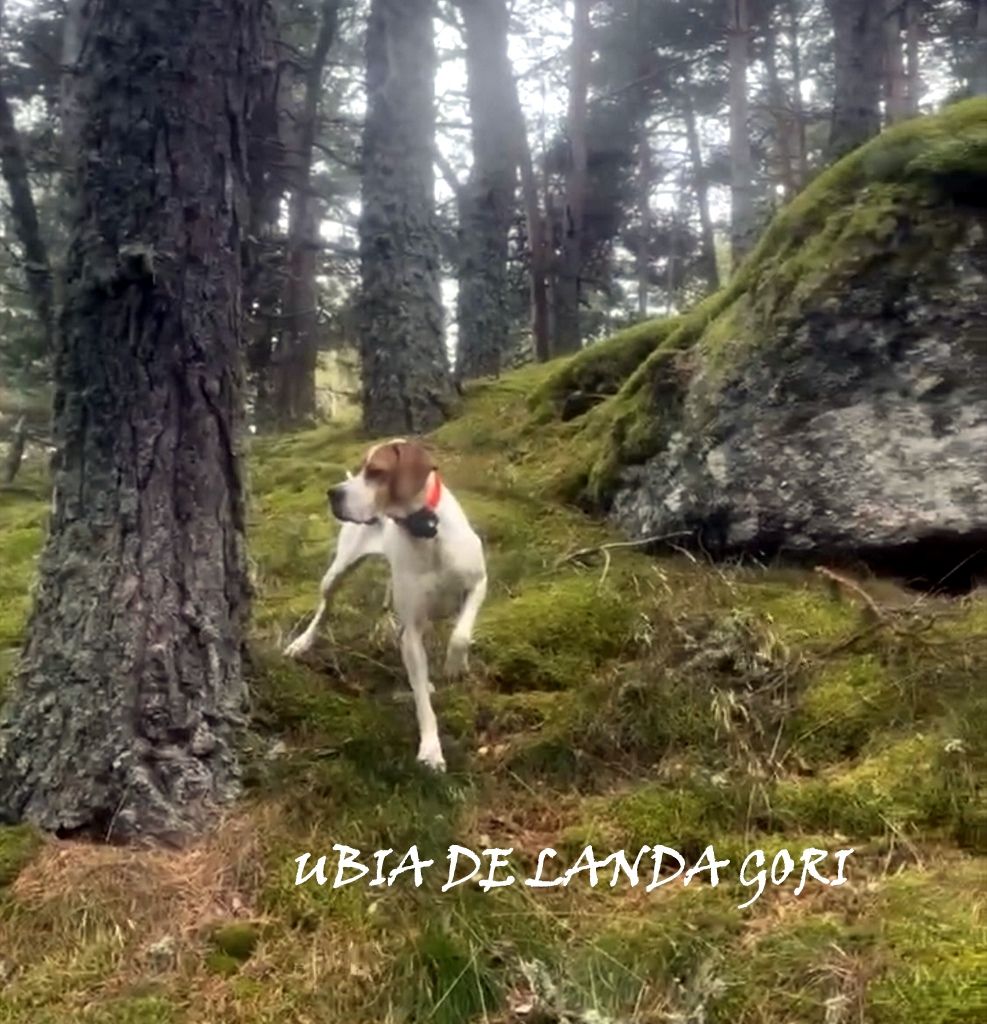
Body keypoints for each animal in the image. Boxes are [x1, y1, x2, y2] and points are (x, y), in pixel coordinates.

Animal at [282, 438, 487, 770]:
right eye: (361, 469)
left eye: (376, 471)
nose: (333, 493)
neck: (425, 532)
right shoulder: (413, 632)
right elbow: (422, 701)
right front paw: (431, 750)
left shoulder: (479, 583)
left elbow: (460, 635)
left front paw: (456, 666)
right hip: (338, 571)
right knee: (325, 607)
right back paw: (302, 642)